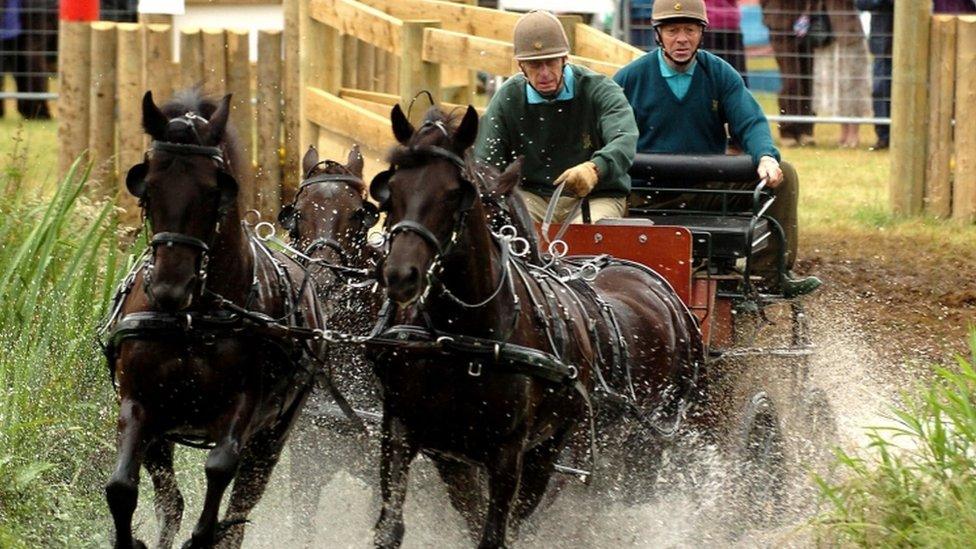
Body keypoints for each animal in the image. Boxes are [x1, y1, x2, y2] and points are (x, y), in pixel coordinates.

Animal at [103, 90, 324, 548]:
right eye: (148, 185)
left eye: (212, 191)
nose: (169, 288)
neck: (193, 319)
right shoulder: (139, 403)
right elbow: (121, 488)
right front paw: (131, 538)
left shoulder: (243, 407)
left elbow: (220, 468)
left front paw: (203, 536)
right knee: (171, 501)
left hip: (275, 434)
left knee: (241, 501)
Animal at [370, 105, 704, 544]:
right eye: (391, 189)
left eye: (455, 192)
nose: (400, 275)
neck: (460, 337)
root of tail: (658, 286)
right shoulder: (409, 431)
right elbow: (395, 524)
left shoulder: (511, 452)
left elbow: (497, 531)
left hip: (628, 444)